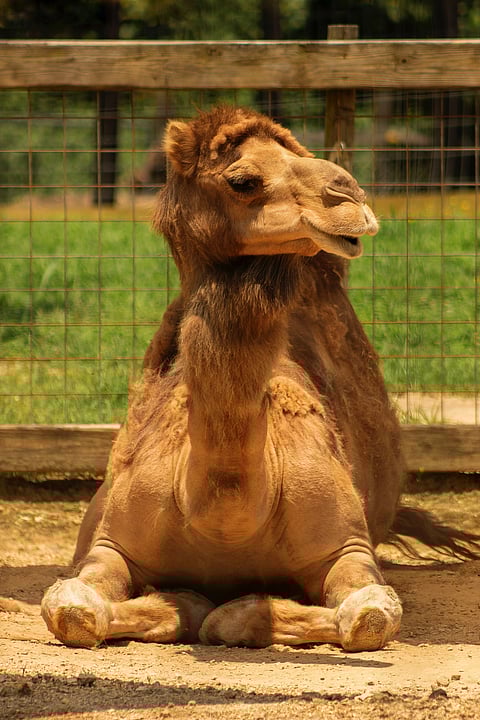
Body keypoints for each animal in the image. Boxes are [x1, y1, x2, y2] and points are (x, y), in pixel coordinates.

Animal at [41, 106, 480, 652]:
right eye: (243, 180)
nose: (350, 196)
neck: (226, 515)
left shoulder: (348, 548)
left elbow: (367, 617)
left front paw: (221, 607)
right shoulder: (110, 544)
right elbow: (70, 609)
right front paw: (183, 600)